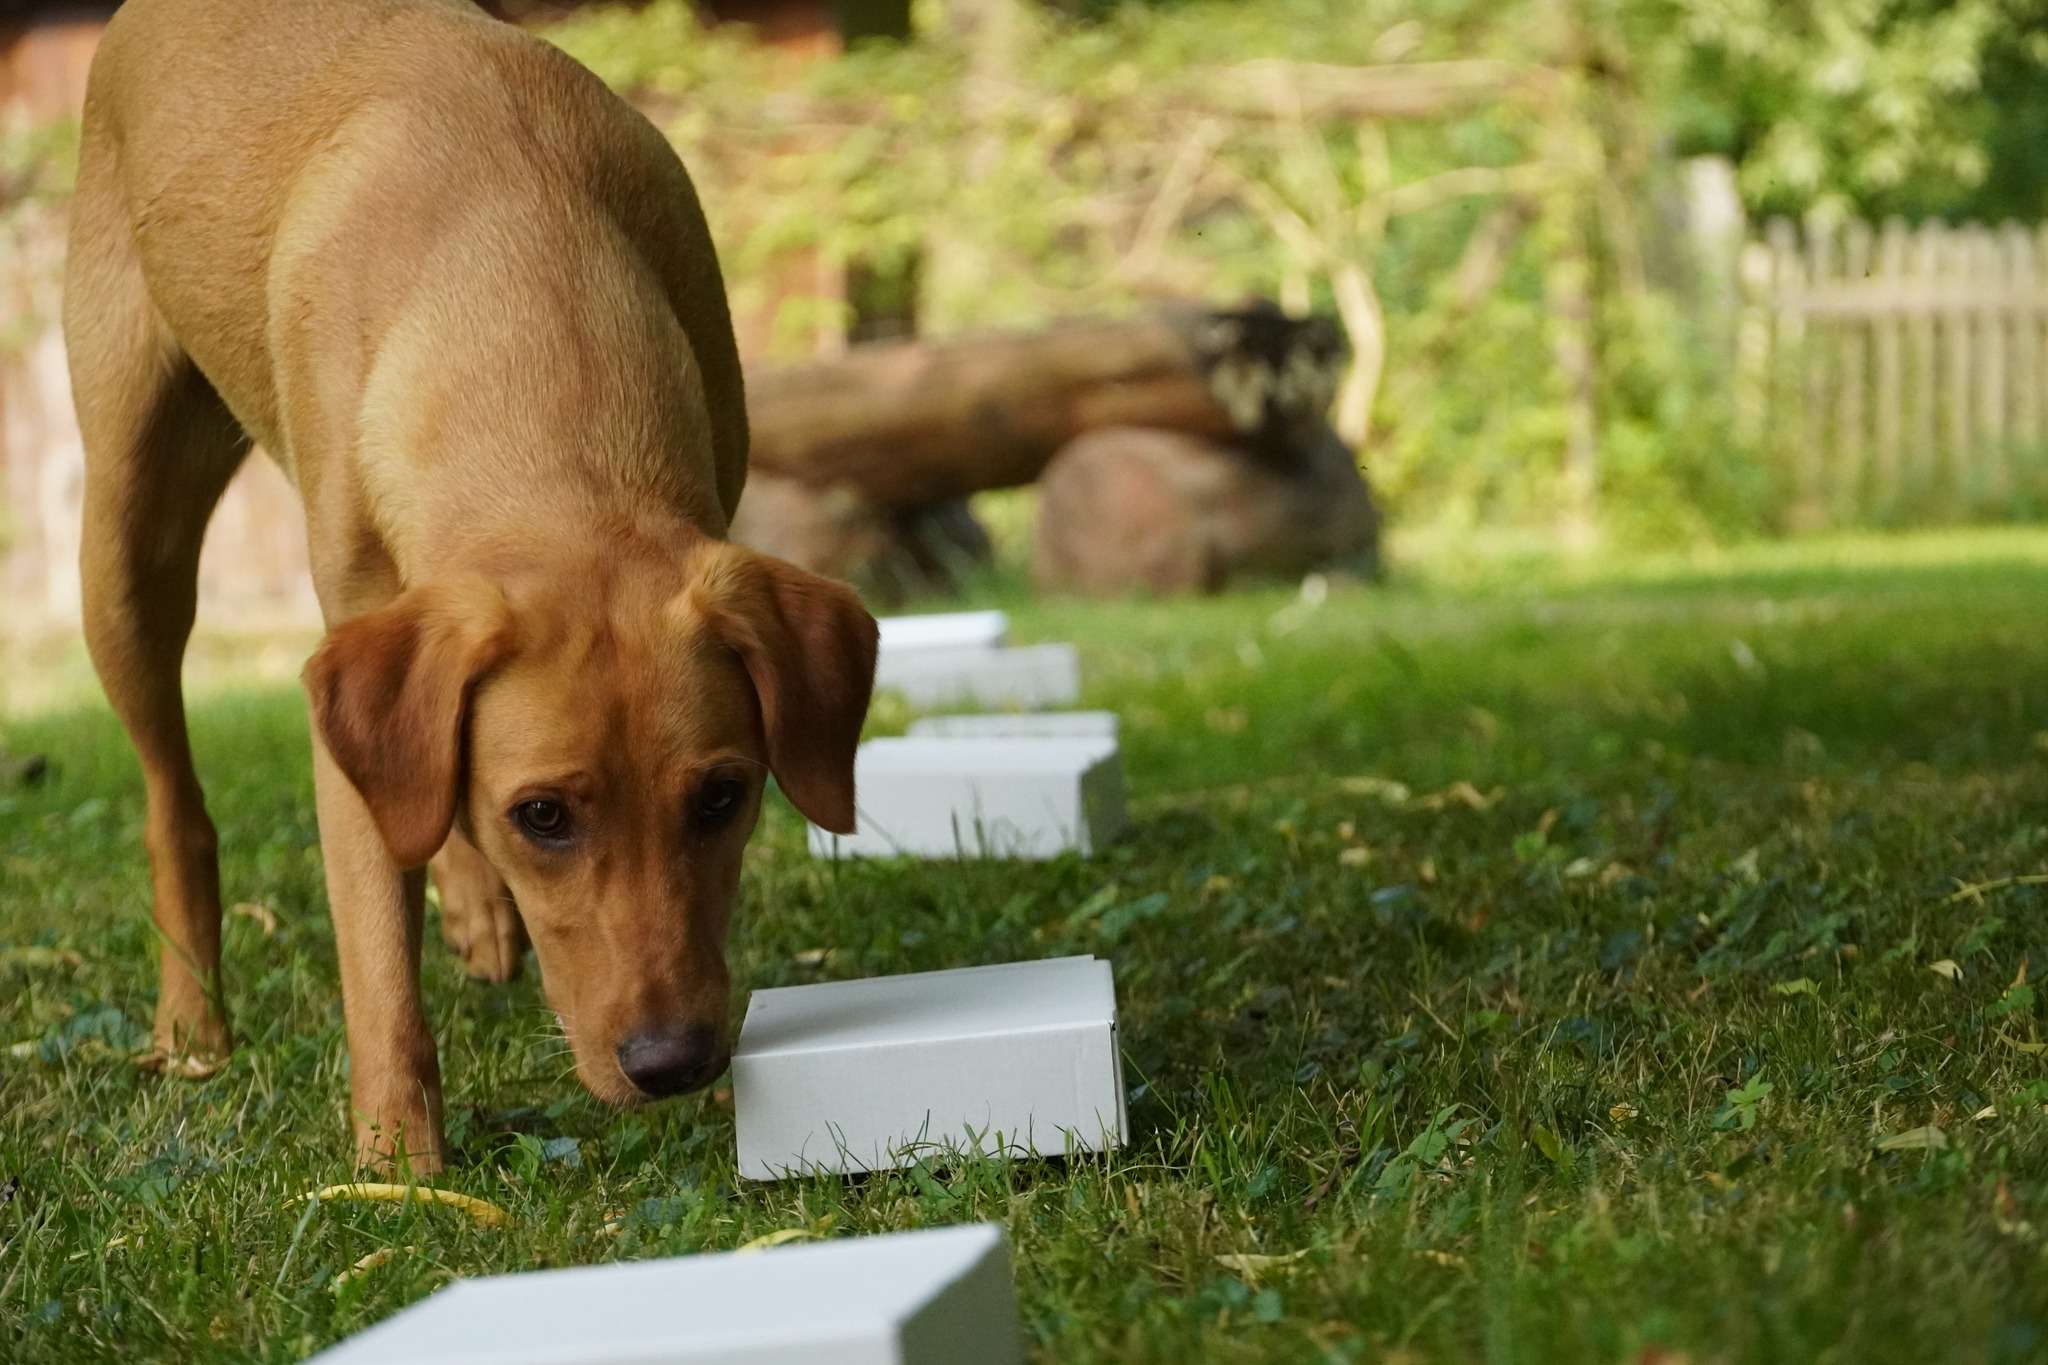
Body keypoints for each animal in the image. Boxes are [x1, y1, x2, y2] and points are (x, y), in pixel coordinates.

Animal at [61, 0, 880, 1178]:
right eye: (542, 815)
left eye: (724, 797)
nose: (673, 1062)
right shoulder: (348, 660)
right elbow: (375, 957)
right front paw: (398, 1162)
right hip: (130, 544)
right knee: (176, 804)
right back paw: (194, 1025)